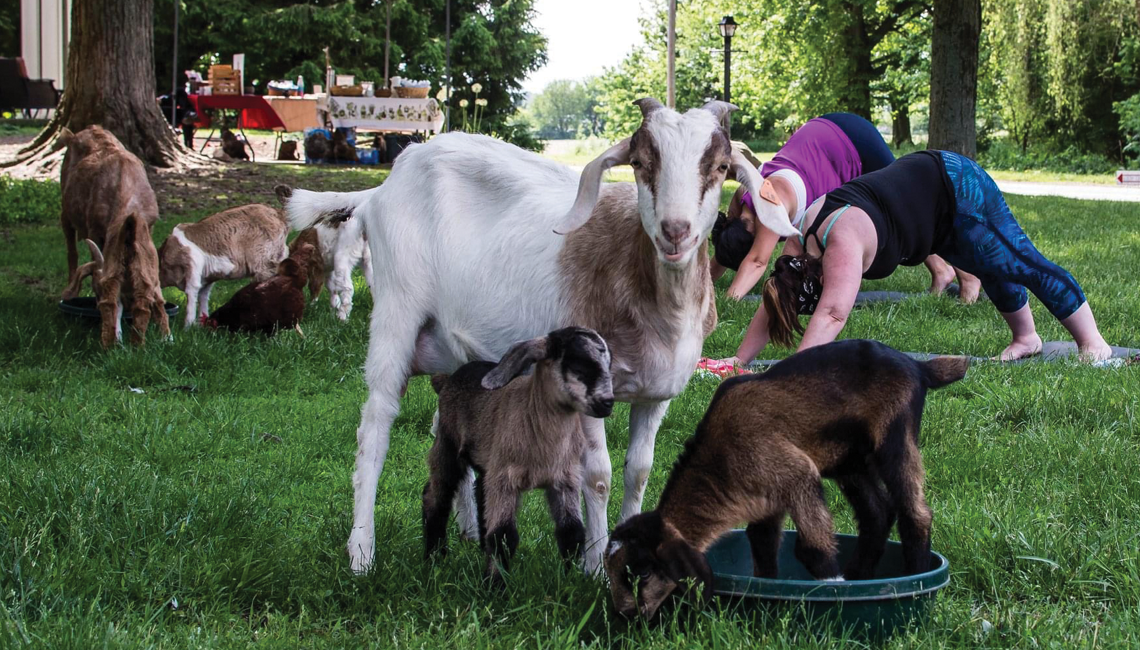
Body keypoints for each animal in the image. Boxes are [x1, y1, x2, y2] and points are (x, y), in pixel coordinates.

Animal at [287, 97, 802, 572]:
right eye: (640, 162)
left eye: (720, 167)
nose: (676, 231)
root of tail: (384, 186)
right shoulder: (590, 387)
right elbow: (598, 475)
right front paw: (594, 566)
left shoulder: (658, 394)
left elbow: (639, 472)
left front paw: (629, 557)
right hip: (397, 310)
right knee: (375, 427)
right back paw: (361, 553)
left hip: (452, 350)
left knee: (446, 425)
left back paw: (467, 531)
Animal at [601, 339, 966, 615]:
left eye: (642, 571)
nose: (626, 615)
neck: (718, 462)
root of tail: (917, 366)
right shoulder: (765, 503)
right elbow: (762, 550)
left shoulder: (796, 473)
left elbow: (812, 547)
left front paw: (832, 591)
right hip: (850, 461)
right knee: (877, 513)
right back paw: (859, 574)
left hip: (894, 436)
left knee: (915, 512)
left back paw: (915, 576)